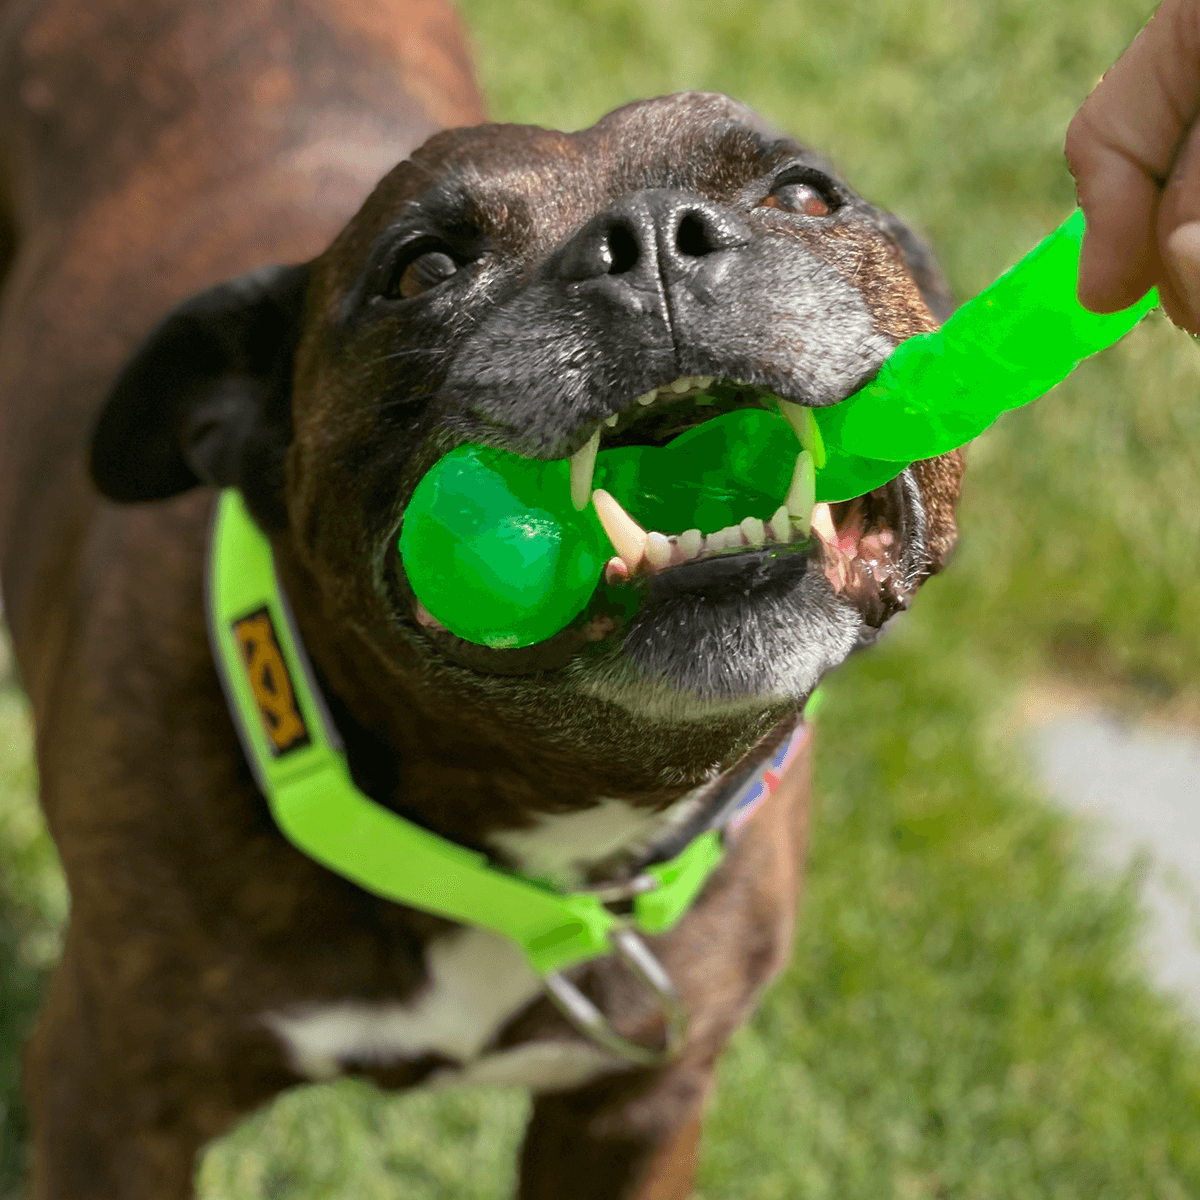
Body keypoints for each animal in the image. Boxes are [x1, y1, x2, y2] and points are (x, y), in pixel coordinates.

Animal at [0, 0, 960, 1195]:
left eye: (806, 196)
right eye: (422, 271)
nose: (650, 235)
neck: (541, 832)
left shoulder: (633, 1112)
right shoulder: (113, 1097)